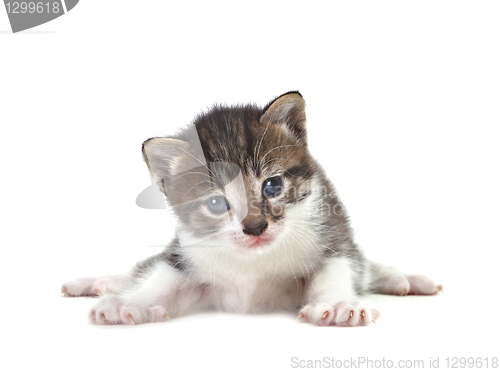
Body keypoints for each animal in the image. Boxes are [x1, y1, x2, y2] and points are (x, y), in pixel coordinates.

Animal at [61, 92, 442, 326]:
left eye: (272, 186)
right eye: (217, 203)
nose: (255, 227)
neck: (254, 262)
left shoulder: (332, 230)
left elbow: (337, 267)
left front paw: (337, 305)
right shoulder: (188, 251)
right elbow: (162, 276)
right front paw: (130, 303)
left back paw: (403, 278)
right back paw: (99, 282)